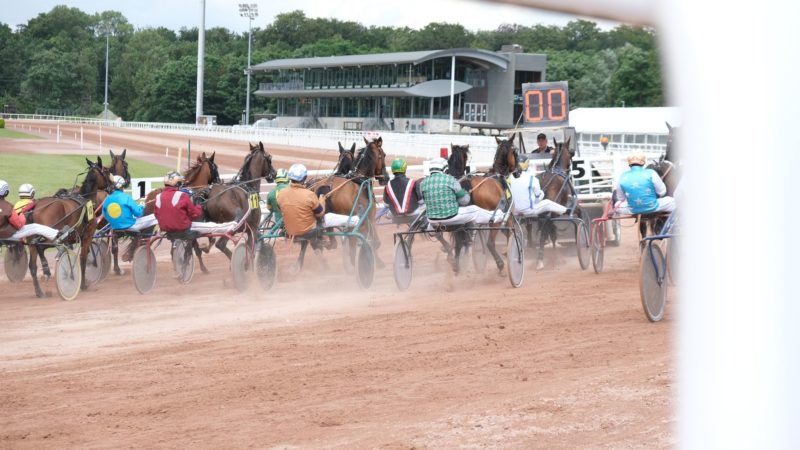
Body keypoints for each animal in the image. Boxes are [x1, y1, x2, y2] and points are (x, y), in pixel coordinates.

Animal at [26, 158, 109, 298]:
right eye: (106, 171)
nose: (112, 187)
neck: (85, 198)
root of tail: (37, 207)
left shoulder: (69, 239)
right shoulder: (87, 236)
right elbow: (83, 259)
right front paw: (83, 284)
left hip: (33, 240)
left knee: (32, 265)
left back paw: (39, 292)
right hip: (51, 235)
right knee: (40, 247)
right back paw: (46, 270)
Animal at [444, 135, 520, 272]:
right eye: (515, 152)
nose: (519, 171)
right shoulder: (508, 217)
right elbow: (509, 235)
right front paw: (509, 253)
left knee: (460, 242)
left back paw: (457, 264)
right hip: (493, 221)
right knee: (489, 243)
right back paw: (500, 265)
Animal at [536, 137, 580, 268]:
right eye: (571, 153)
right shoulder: (564, 207)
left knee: (548, 230)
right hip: (553, 212)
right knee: (546, 230)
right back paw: (543, 259)